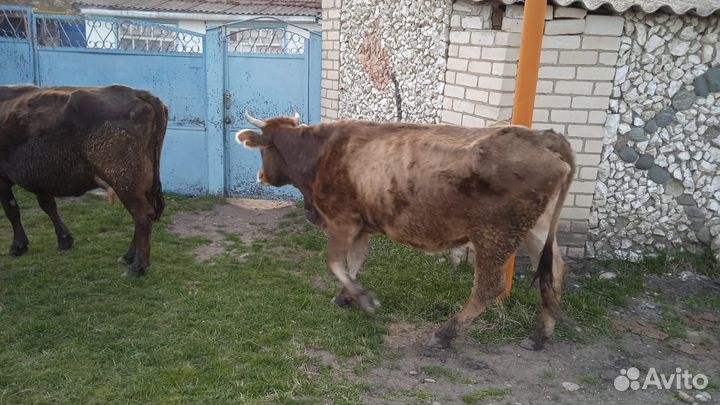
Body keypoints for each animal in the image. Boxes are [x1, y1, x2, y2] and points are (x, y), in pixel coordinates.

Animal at [0, 85, 167, 277]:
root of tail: (139, 94)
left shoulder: (3, 180)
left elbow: (12, 211)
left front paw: (18, 246)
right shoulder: (39, 178)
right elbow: (48, 206)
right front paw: (64, 239)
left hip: (125, 183)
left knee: (143, 215)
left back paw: (138, 267)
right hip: (140, 184)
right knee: (142, 217)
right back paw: (128, 257)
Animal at [236, 112, 575, 350]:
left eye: (263, 149)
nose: (261, 176)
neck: (321, 153)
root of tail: (541, 137)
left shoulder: (342, 220)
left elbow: (334, 262)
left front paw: (364, 299)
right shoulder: (362, 226)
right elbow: (354, 263)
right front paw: (347, 296)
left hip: (495, 234)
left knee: (489, 287)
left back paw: (444, 333)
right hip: (535, 229)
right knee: (555, 271)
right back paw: (540, 335)